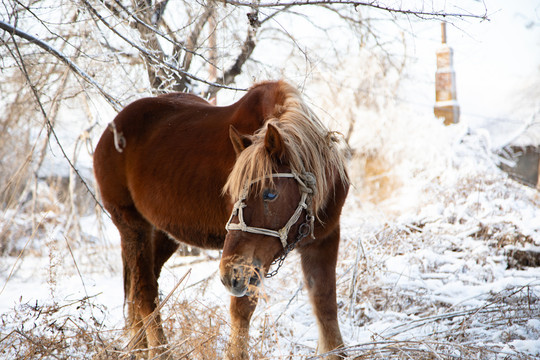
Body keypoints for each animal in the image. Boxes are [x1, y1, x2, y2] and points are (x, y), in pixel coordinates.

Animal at [93, 80, 350, 358]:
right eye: (233, 195)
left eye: (270, 193)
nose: (229, 274)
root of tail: (113, 127)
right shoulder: (249, 265)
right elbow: (241, 310)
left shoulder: (324, 240)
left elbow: (325, 303)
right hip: (132, 226)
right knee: (144, 293)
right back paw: (160, 351)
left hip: (163, 234)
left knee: (138, 290)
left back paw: (139, 348)